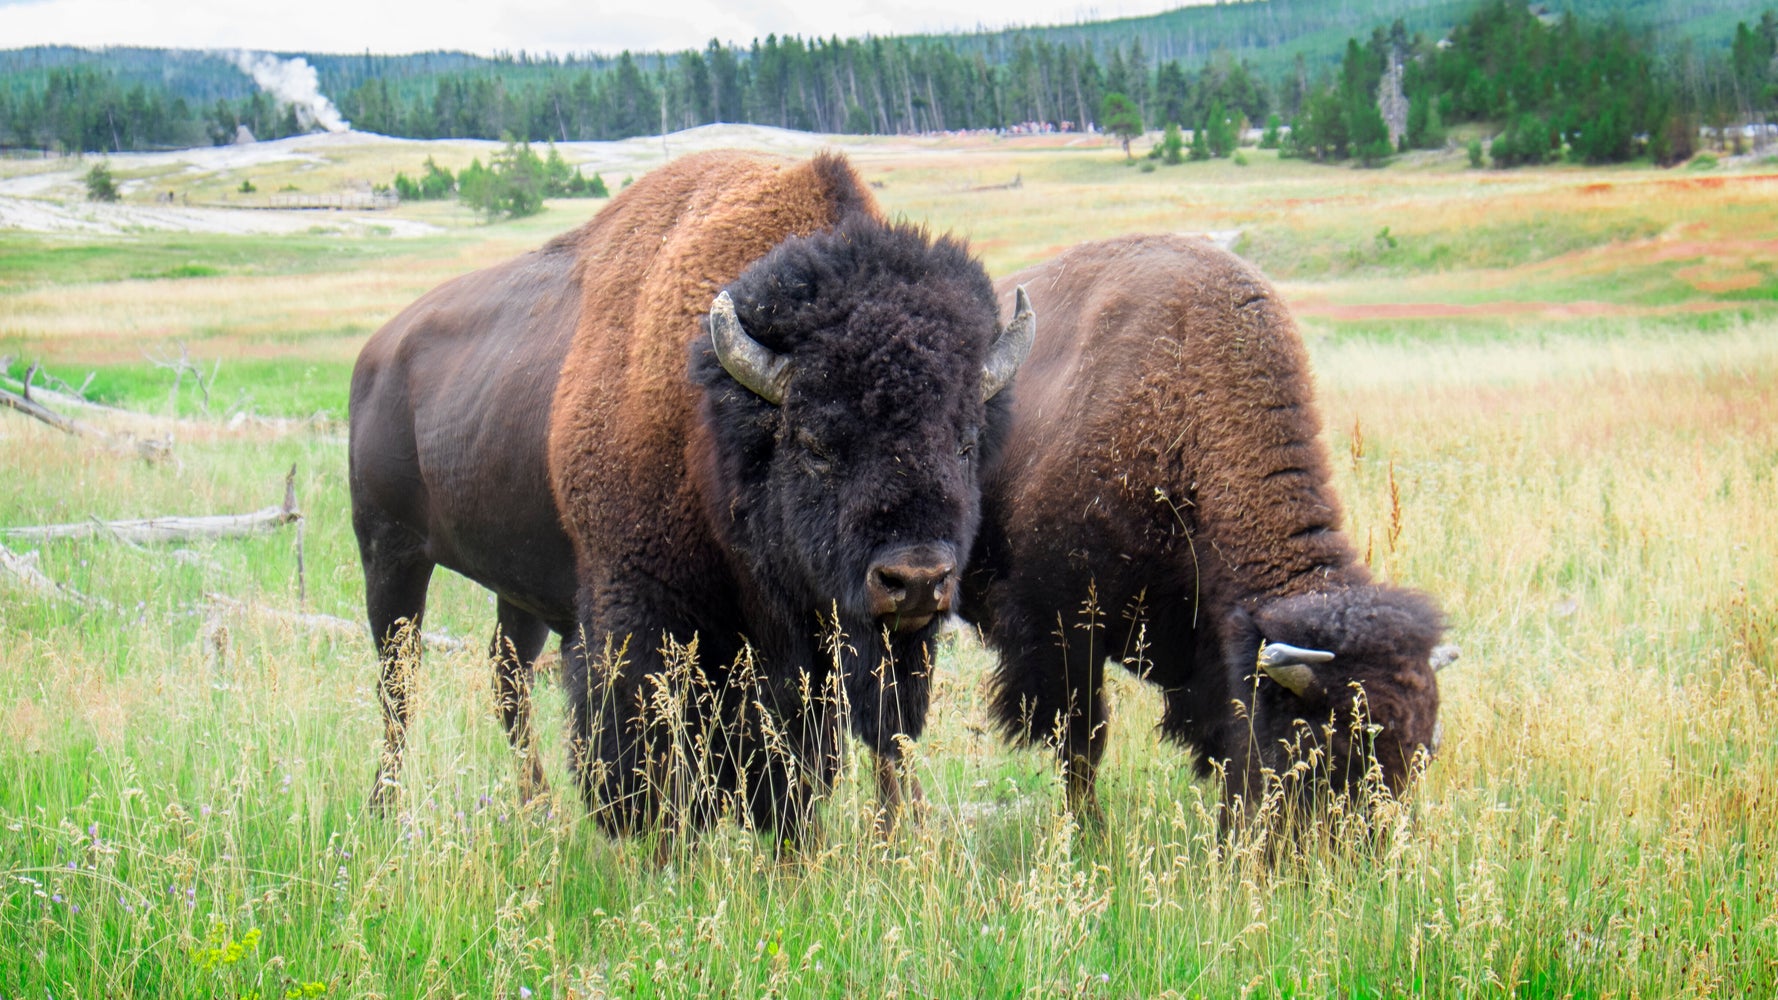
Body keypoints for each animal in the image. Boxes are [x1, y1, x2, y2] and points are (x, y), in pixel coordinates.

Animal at [350, 150, 1033, 837]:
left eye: (966, 443)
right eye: (815, 444)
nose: (915, 578)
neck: (716, 426)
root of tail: (375, 355)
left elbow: (839, 750)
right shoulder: (640, 619)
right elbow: (645, 754)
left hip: (518, 588)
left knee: (506, 675)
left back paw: (536, 806)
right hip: (390, 554)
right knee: (398, 681)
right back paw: (384, 806)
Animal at [960, 234, 1451, 827]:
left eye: (1422, 754)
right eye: (1325, 747)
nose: (1367, 846)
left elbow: (1226, 743)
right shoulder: (1064, 628)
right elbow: (1081, 742)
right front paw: (1091, 832)